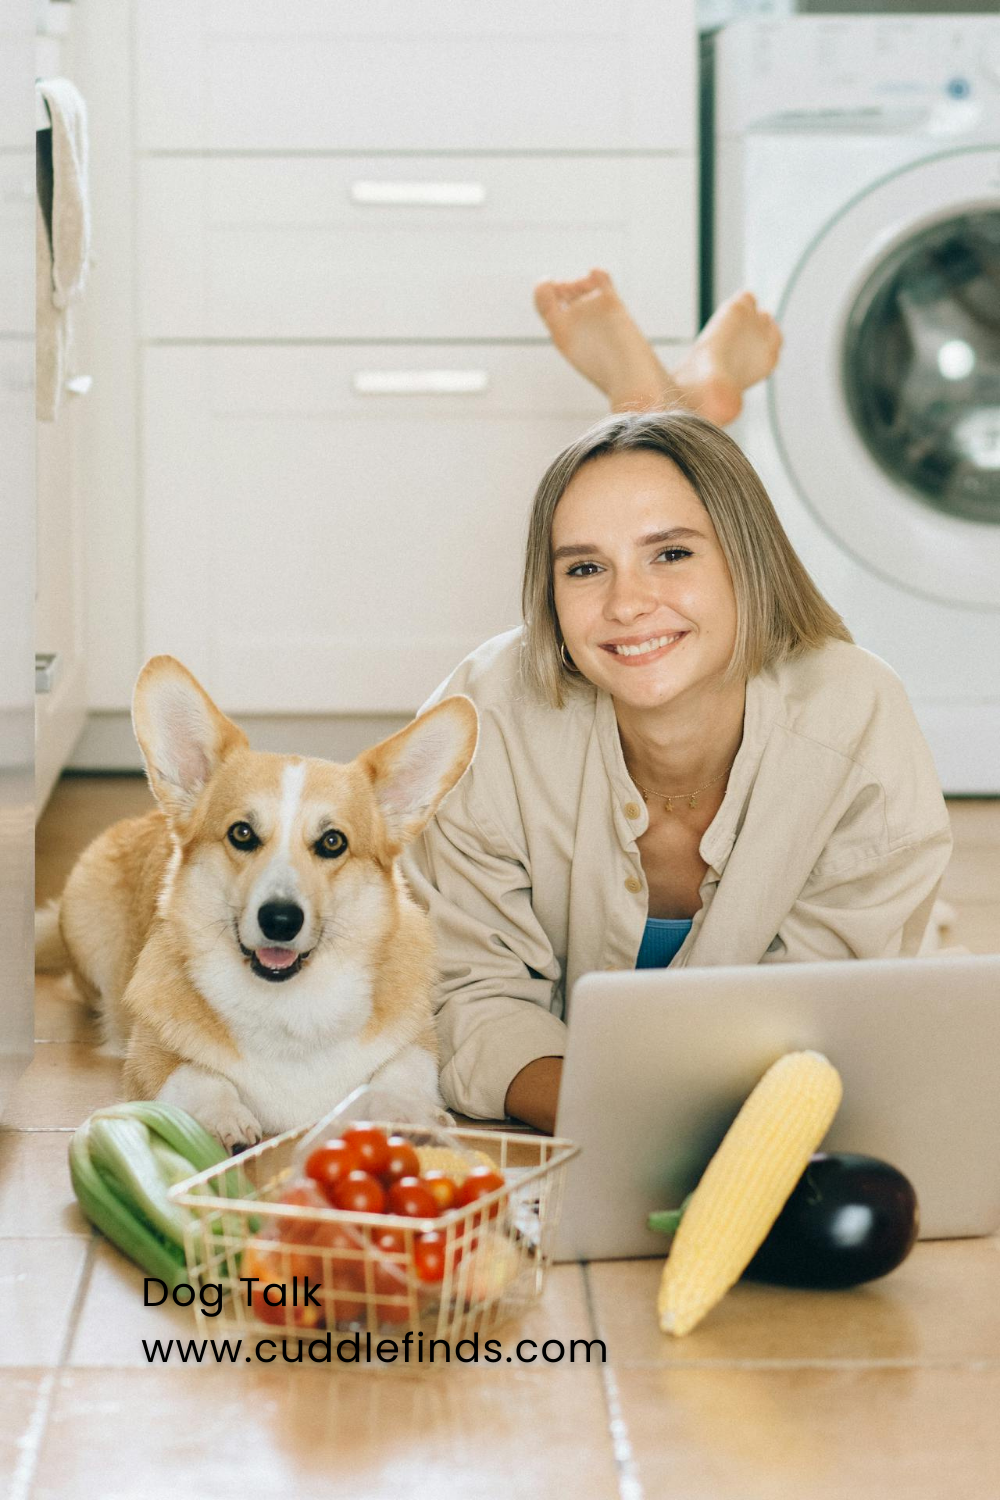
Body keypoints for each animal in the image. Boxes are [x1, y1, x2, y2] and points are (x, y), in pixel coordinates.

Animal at [38, 657, 476, 1146]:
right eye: (242, 833)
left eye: (332, 842)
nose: (280, 920)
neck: (289, 1009)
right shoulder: (149, 1056)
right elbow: (194, 1075)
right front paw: (222, 1118)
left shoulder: (418, 1043)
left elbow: (403, 1072)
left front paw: (405, 1114)